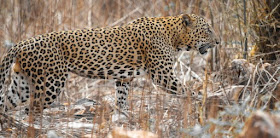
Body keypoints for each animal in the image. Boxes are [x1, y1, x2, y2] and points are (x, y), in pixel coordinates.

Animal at [0, 13, 219, 115]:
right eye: (208, 29)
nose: (218, 42)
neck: (175, 38)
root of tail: (21, 43)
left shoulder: (124, 78)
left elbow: (121, 98)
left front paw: (122, 116)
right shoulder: (162, 75)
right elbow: (185, 90)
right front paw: (204, 101)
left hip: (21, 84)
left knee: (7, 103)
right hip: (50, 83)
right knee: (32, 110)